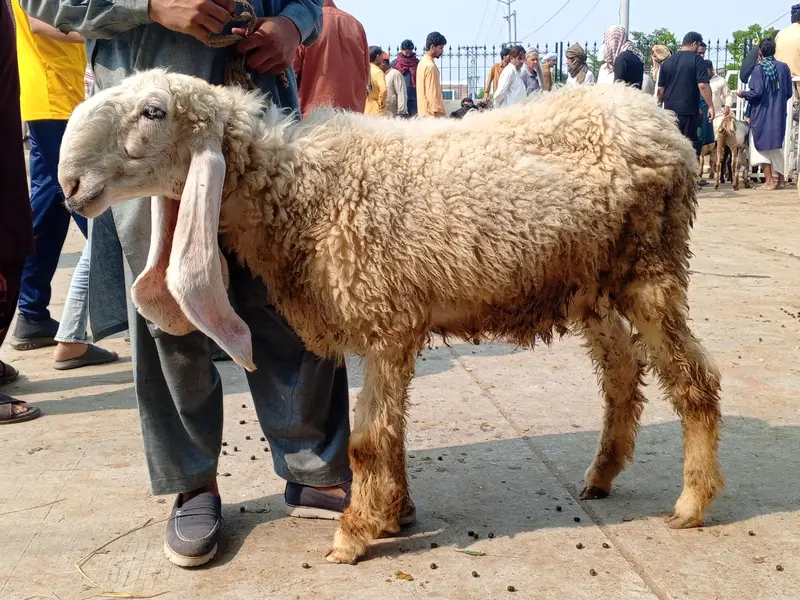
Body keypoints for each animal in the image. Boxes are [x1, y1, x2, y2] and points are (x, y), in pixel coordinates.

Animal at [58, 69, 723, 565]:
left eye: (153, 111)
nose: (69, 183)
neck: (307, 193)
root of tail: (658, 118)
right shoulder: (394, 323)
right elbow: (392, 436)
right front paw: (394, 512)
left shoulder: (386, 321)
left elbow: (369, 441)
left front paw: (355, 533)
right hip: (592, 285)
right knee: (622, 377)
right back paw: (602, 475)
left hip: (650, 268)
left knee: (695, 380)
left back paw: (692, 502)